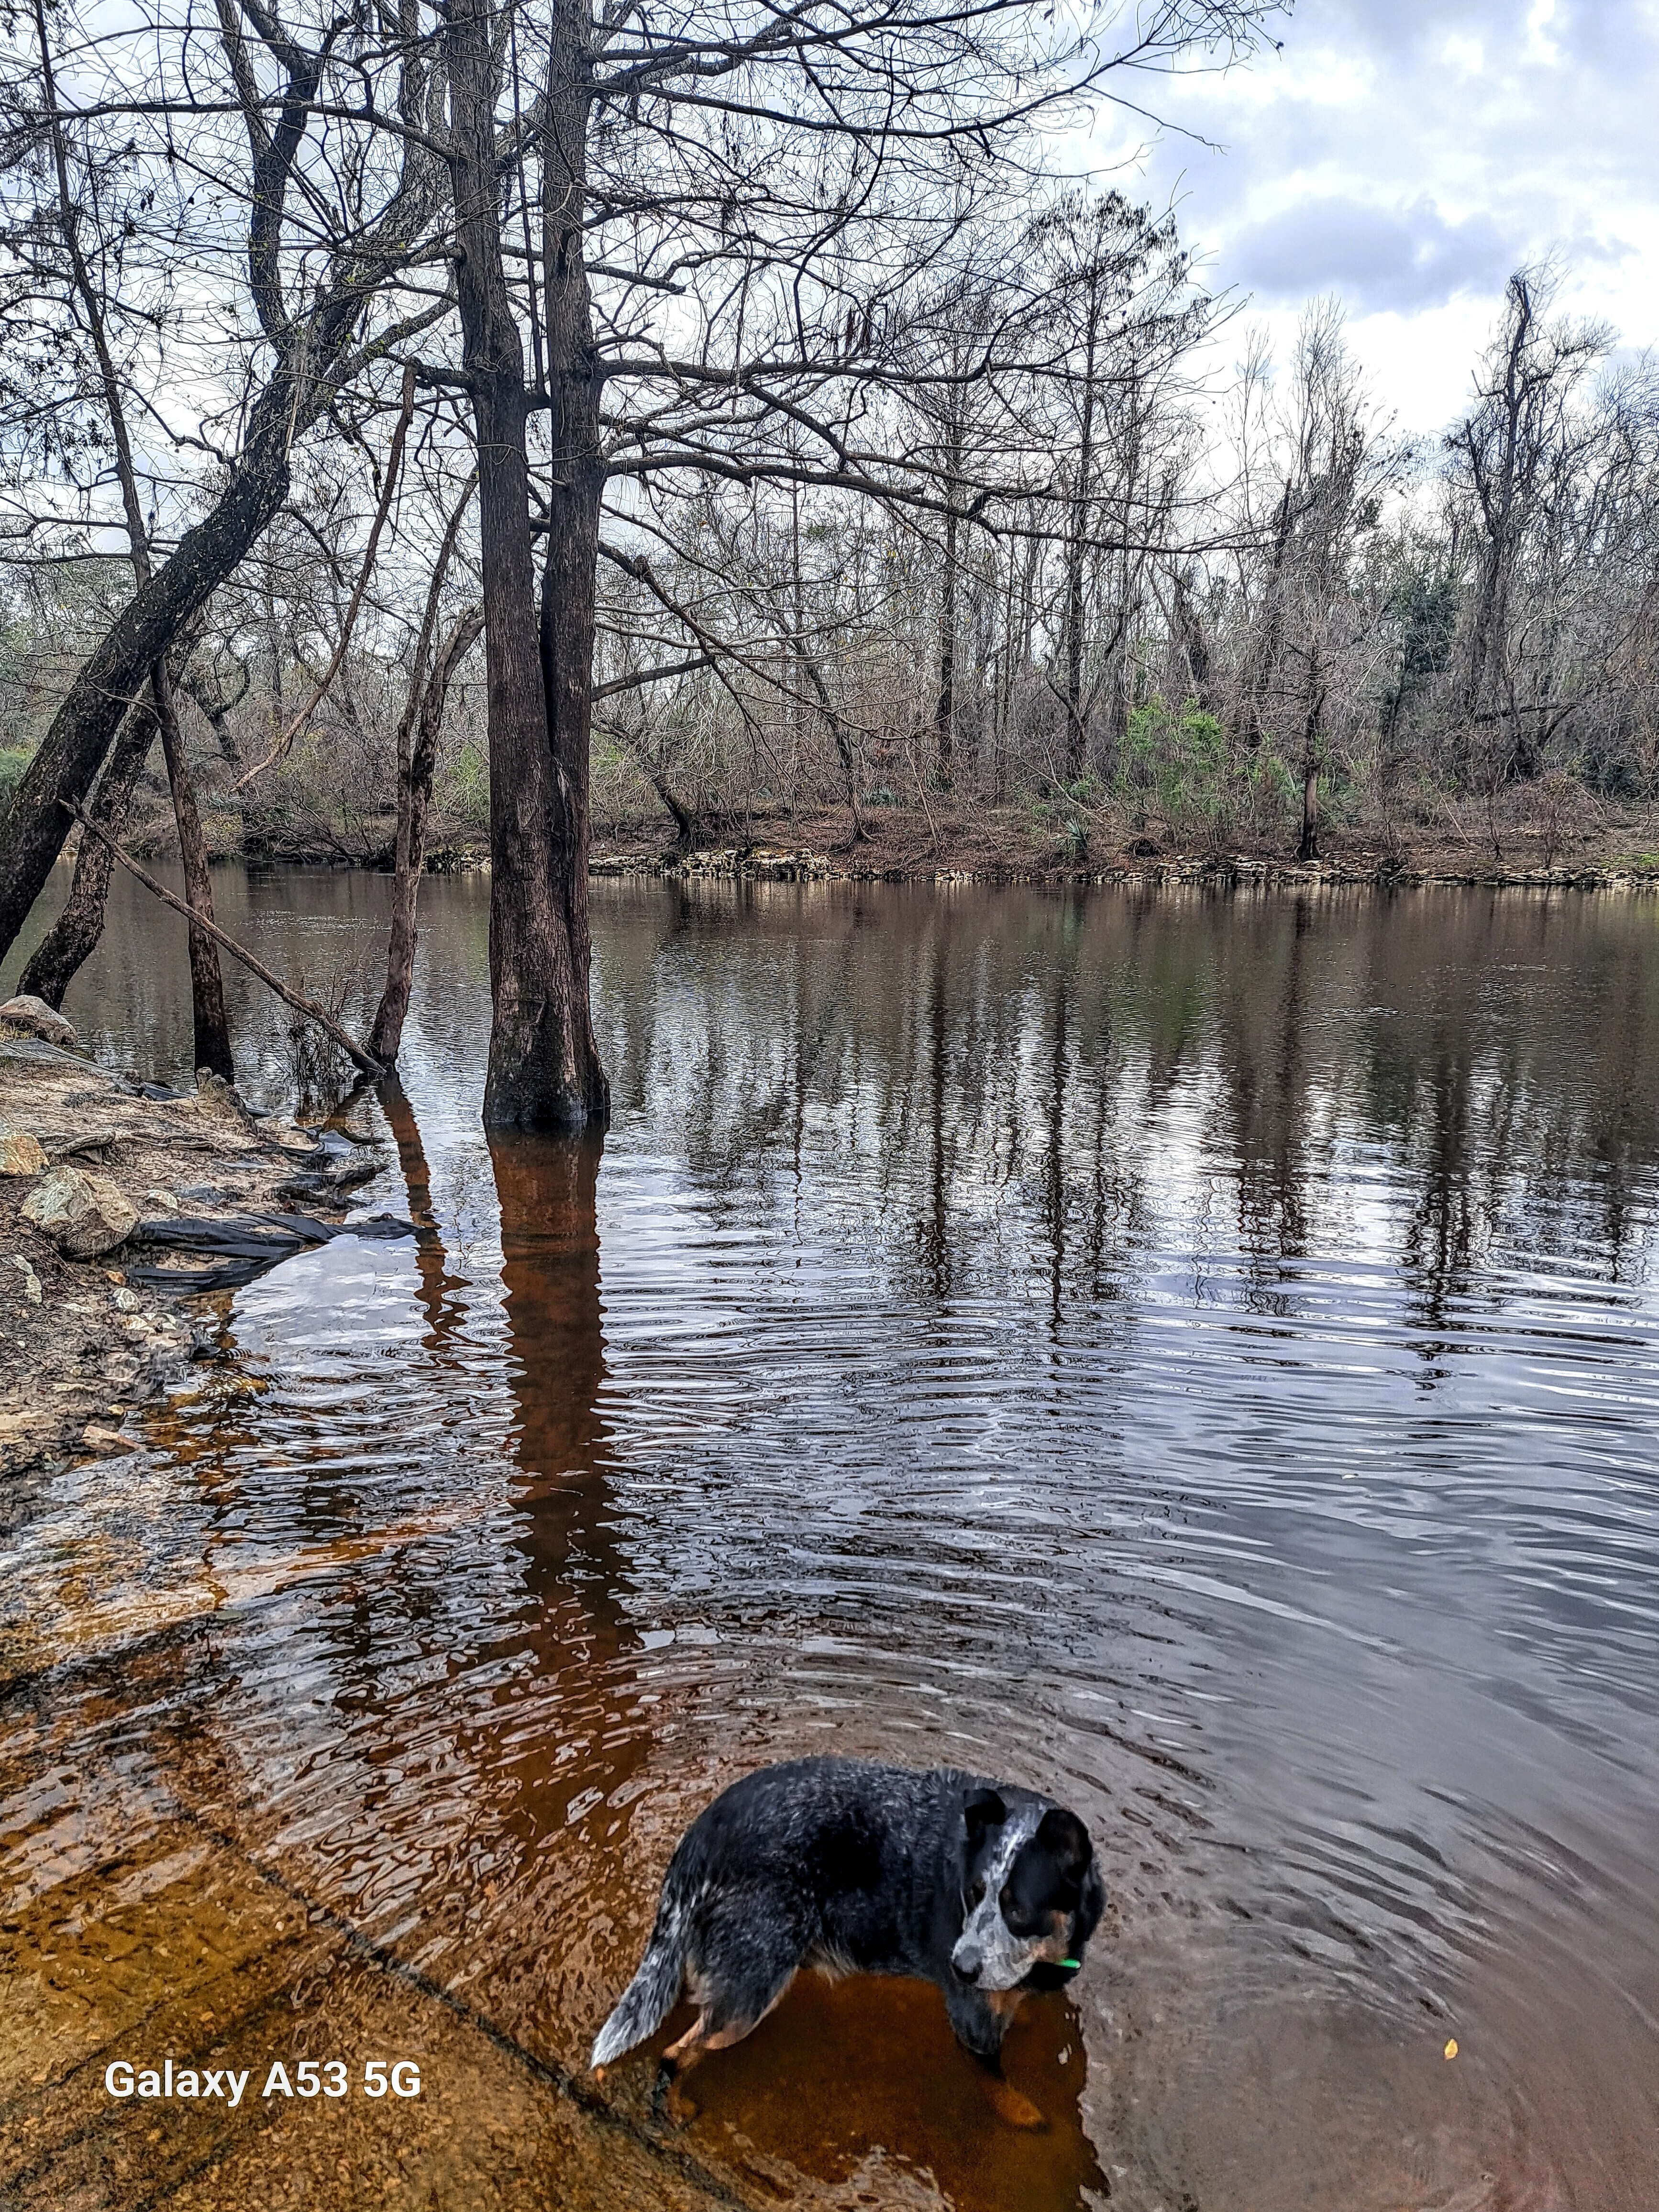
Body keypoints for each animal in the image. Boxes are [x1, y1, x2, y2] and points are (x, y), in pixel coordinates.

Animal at [588, 1760, 1106, 2124]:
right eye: (974, 1892)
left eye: (1016, 1909)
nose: (958, 1966)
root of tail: (703, 1831)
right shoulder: (972, 2020)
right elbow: (996, 2081)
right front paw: (1024, 2113)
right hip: (752, 1988)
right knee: (676, 2053)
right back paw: (674, 2107)